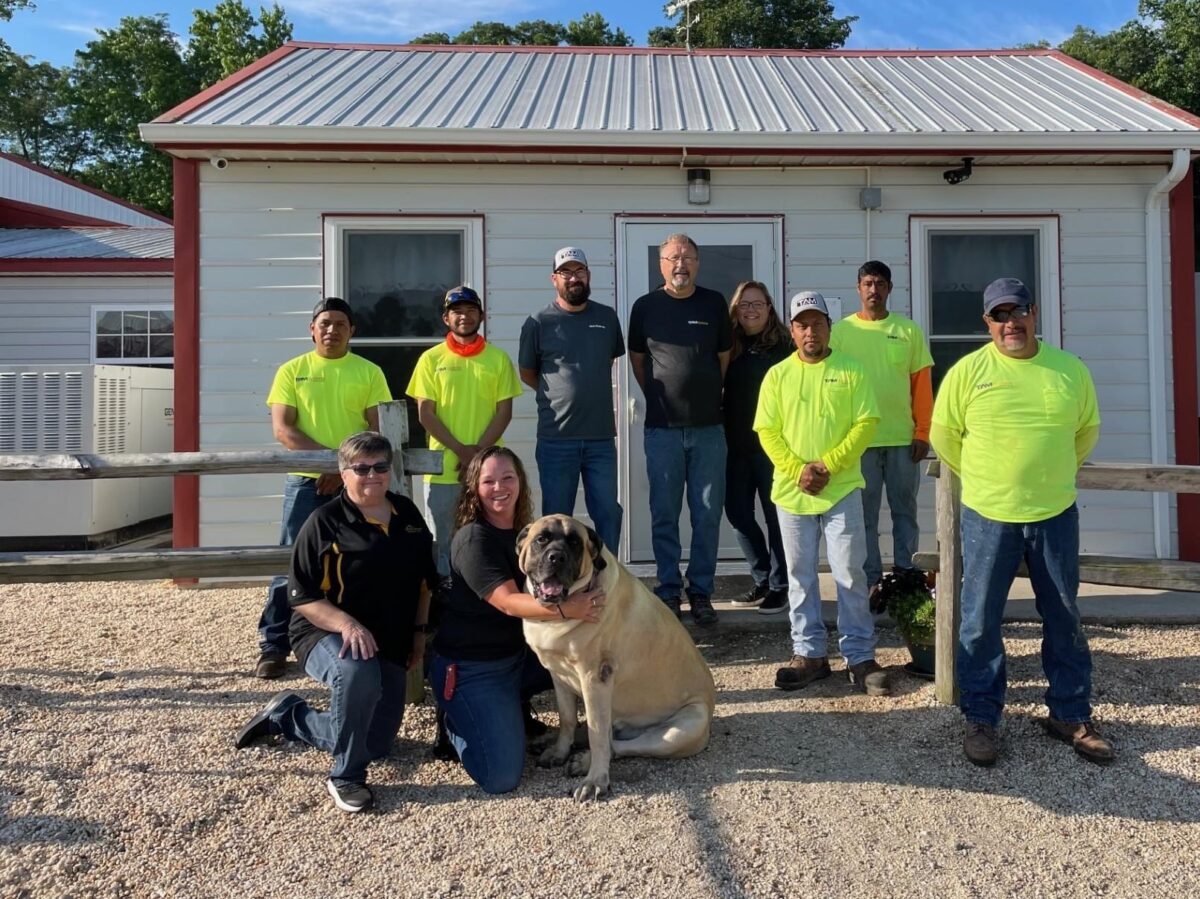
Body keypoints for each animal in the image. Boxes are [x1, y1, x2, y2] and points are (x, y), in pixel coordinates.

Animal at [516, 511, 710, 801]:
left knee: (618, 744)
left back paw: (585, 761)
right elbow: (567, 719)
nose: (556, 557)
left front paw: (594, 780)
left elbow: (597, 736)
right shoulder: (558, 676)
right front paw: (560, 751)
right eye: (542, 539)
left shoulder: (595, 678)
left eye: (575, 543)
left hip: (685, 727)